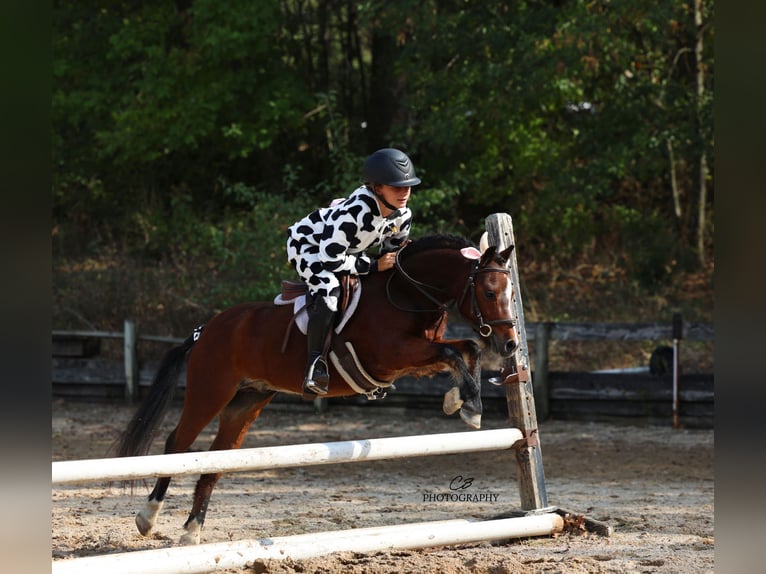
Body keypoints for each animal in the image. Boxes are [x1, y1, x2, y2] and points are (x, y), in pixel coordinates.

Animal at [114, 233, 518, 545]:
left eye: (510, 291)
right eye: (488, 291)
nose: (511, 345)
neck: (406, 293)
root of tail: (206, 329)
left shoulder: (412, 359)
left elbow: (467, 348)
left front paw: (461, 401)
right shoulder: (393, 355)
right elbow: (455, 351)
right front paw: (467, 406)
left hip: (247, 402)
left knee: (216, 460)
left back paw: (192, 532)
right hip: (211, 391)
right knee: (177, 444)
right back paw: (147, 518)